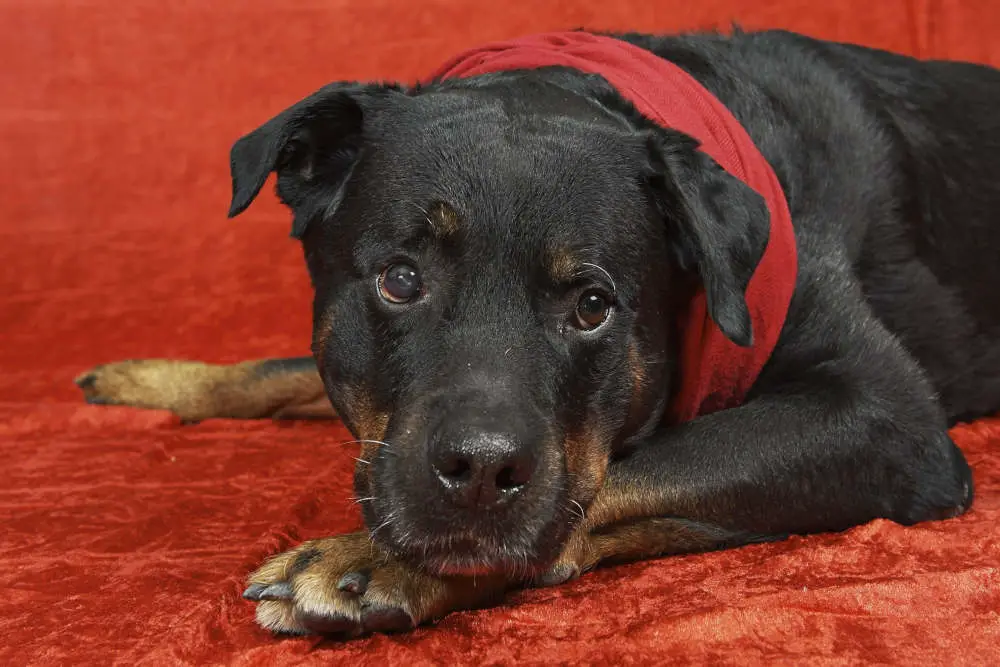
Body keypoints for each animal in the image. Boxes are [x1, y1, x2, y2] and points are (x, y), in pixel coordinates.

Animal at [74, 28, 996, 640]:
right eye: (400, 279)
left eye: (591, 305)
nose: (481, 469)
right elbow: (281, 366)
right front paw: (159, 378)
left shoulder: (881, 414)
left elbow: (633, 470)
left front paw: (368, 561)